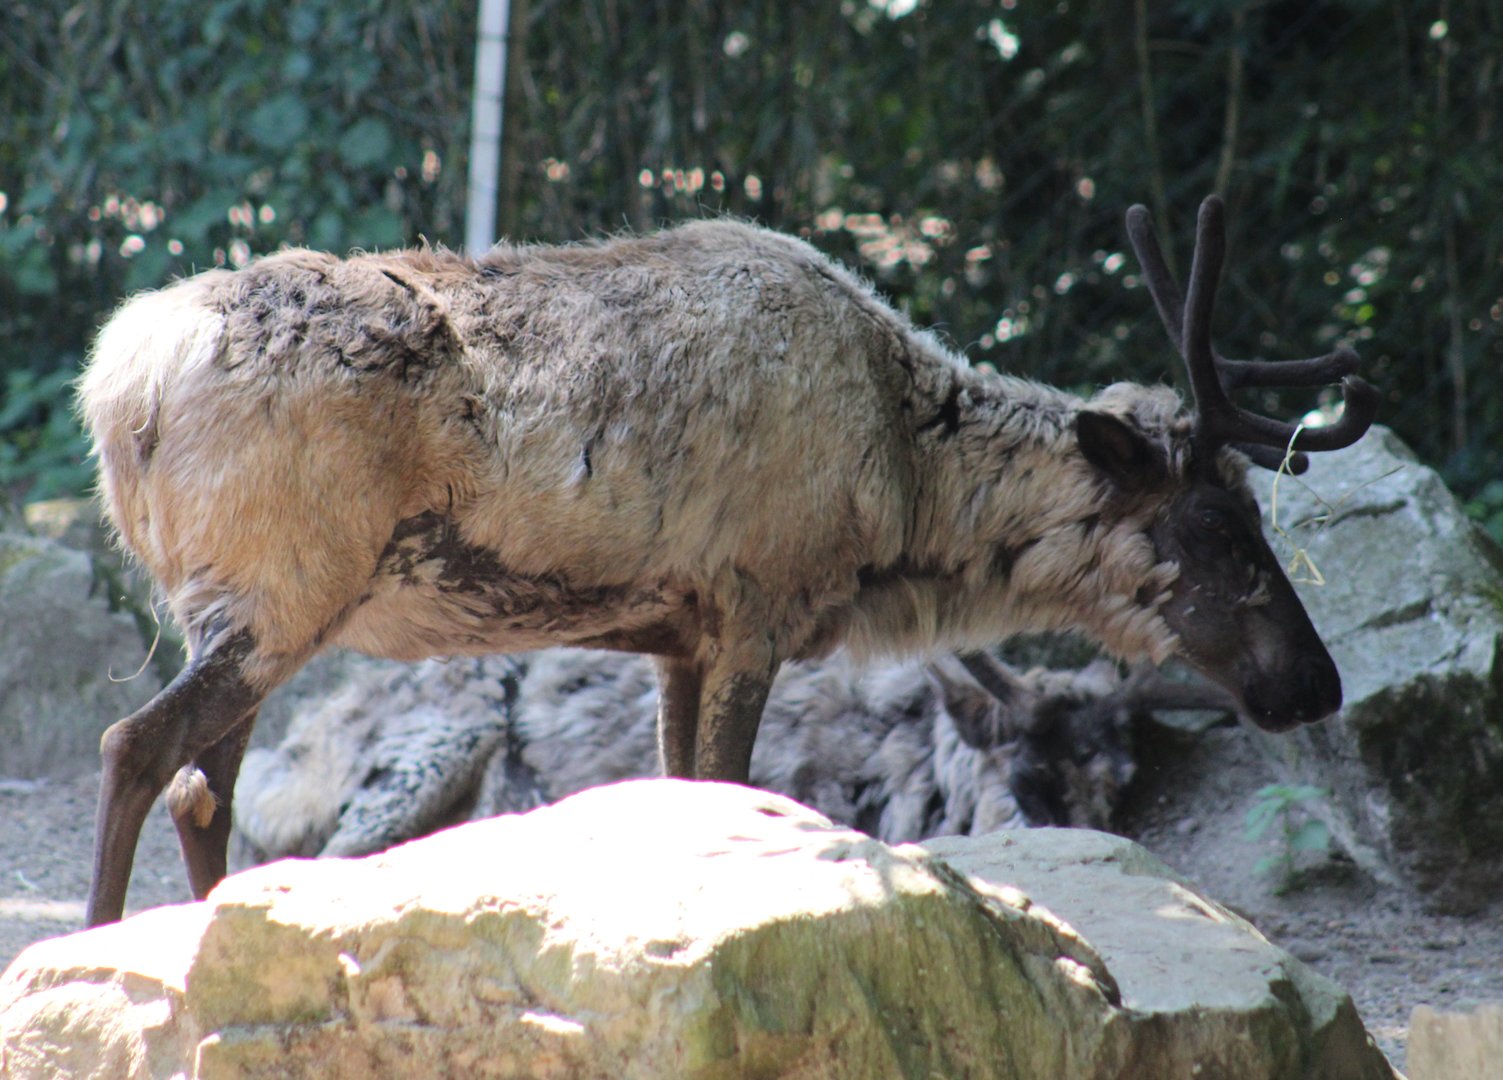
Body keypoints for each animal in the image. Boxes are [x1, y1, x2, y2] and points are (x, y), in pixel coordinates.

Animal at [77, 194, 1377, 925]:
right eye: (1217, 528)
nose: (1314, 683)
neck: (899, 494)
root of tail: (114, 394)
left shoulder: (677, 633)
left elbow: (676, 791)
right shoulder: (757, 605)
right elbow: (729, 790)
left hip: (257, 611)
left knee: (204, 787)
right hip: (281, 592)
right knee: (137, 745)